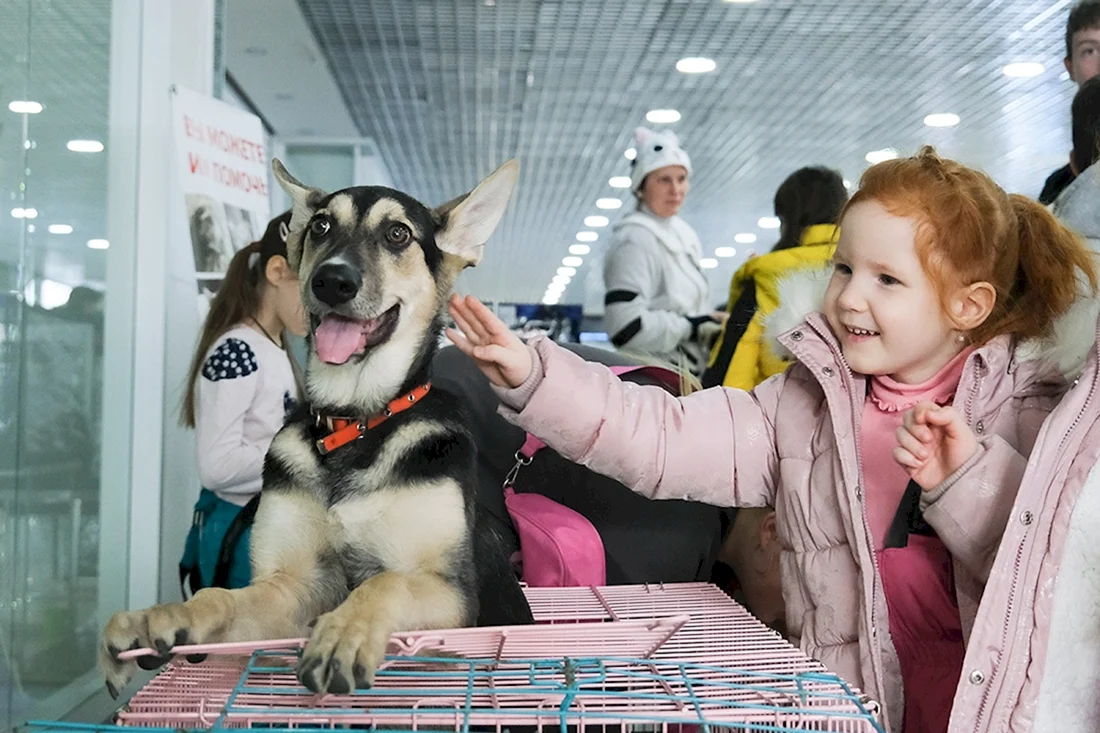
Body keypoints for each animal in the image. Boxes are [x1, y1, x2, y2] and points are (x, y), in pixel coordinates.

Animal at [96, 157, 534, 695]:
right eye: (322, 226)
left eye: (398, 234)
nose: (332, 281)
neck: (356, 419)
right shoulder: (293, 585)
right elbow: (220, 596)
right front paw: (167, 613)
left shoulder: (451, 594)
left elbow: (385, 582)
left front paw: (345, 630)